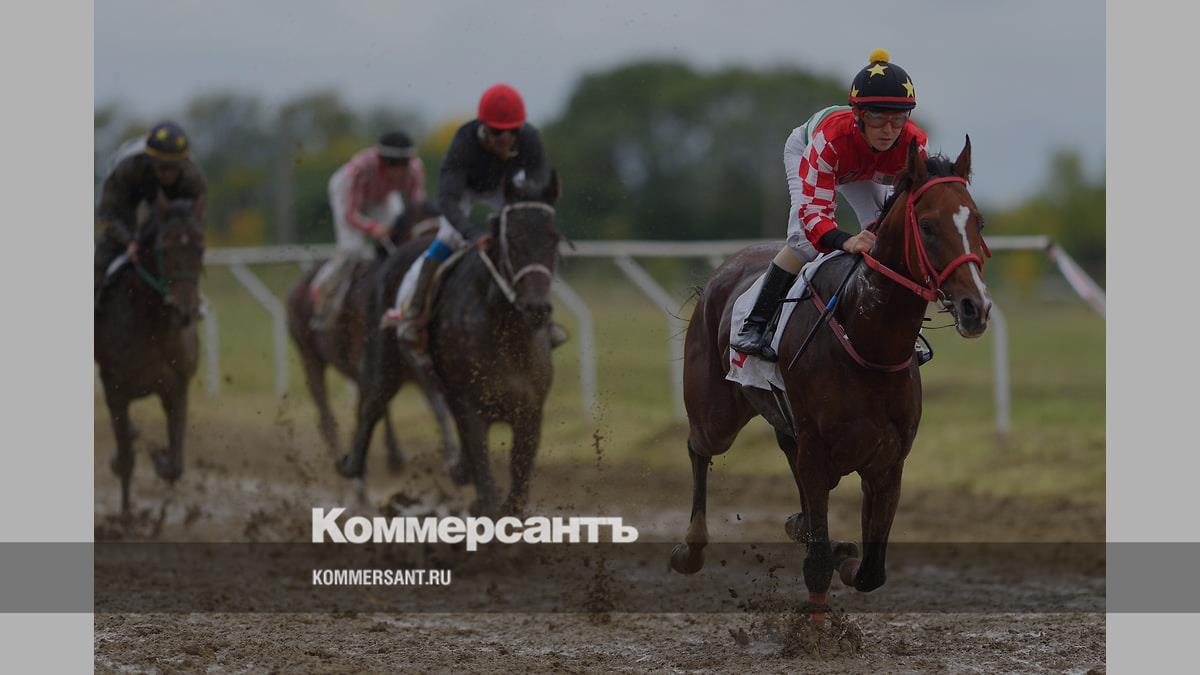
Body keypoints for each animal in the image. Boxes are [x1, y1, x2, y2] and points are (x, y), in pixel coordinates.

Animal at [95, 196, 206, 514]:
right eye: (165, 247)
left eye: (200, 247)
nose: (185, 310)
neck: (151, 325)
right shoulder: (115, 389)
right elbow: (126, 460)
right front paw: (126, 517)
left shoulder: (177, 387)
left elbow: (176, 464)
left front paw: (160, 457)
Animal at [286, 202, 455, 469]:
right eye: (421, 234)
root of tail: (298, 286)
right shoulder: (370, 363)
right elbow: (378, 403)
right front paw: (393, 455)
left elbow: (438, 406)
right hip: (309, 355)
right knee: (325, 411)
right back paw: (338, 450)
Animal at [336, 172, 562, 516]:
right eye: (513, 238)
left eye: (553, 238)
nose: (536, 308)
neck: (506, 335)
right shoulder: (470, 409)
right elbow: (487, 486)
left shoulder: (530, 411)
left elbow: (516, 492)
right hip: (385, 362)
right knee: (372, 404)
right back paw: (352, 465)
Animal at [669, 138, 992, 621]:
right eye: (928, 226)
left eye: (978, 221)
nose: (976, 307)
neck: (869, 340)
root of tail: (723, 270)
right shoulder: (819, 451)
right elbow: (818, 564)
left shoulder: (887, 461)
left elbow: (871, 569)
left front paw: (842, 554)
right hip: (717, 414)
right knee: (698, 447)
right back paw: (690, 550)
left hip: (788, 428)